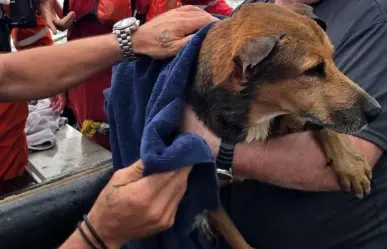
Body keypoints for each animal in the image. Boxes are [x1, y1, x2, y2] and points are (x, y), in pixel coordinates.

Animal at [189, 2, 384, 249]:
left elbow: (320, 122)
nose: (376, 111)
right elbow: (233, 235)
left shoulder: (294, 116)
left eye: (333, 58)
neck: (258, 114)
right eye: (313, 70)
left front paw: (350, 162)